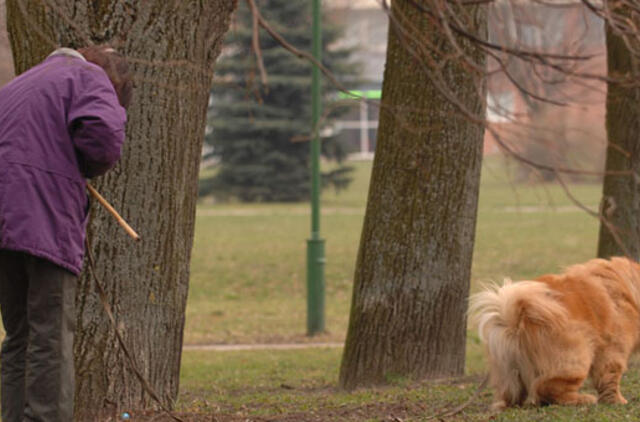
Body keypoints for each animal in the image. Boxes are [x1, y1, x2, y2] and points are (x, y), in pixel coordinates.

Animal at [468, 258, 640, 408]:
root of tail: (516, 319)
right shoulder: (612, 352)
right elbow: (610, 380)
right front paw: (617, 401)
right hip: (575, 359)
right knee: (548, 389)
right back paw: (582, 399)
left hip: (509, 371)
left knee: (513, 394)